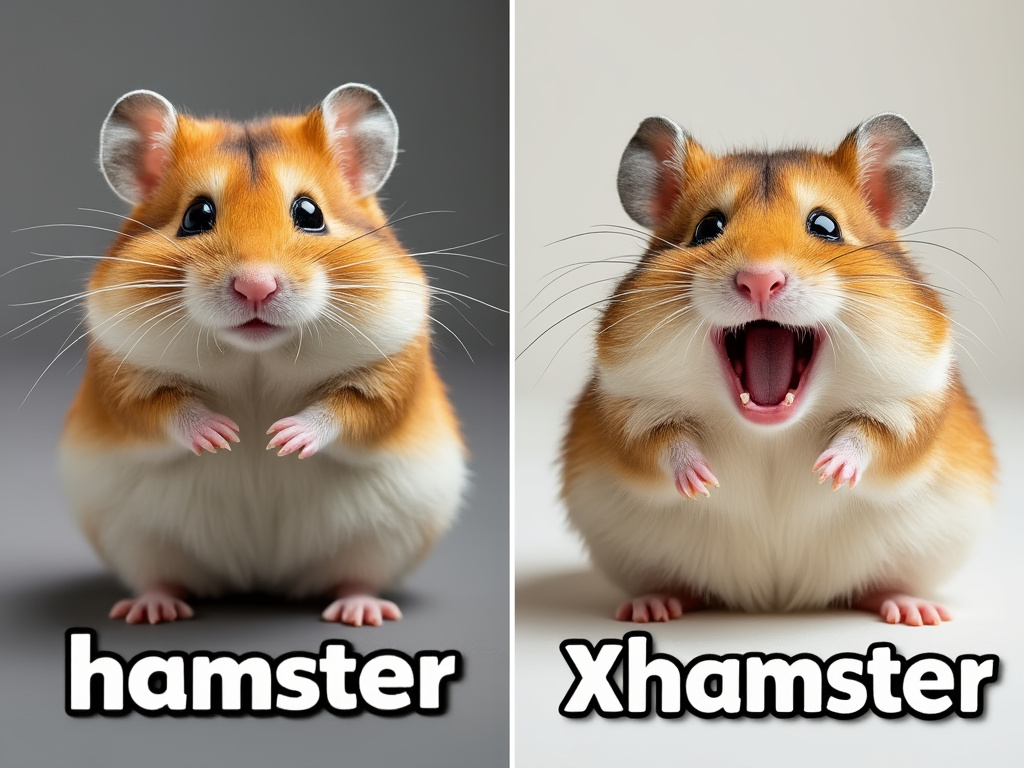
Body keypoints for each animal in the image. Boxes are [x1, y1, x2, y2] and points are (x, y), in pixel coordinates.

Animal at [58, 85, 467, 626]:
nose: (256, 285)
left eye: (310, 213)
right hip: (137, 538)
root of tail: (259, 578)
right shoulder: (121, 373)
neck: (256, 356)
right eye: (196, 216)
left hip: (382, 538)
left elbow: (350, 408)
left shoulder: (392, 371)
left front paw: (281, 439)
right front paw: (225, 436)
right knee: (159, 576)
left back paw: (360, 611)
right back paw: (152, 610)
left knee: (355, 576)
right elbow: (160, 408)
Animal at [561, 113, 996, 626]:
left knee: (874, 587)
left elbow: (872, 435)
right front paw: (702, 482)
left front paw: (829, 471)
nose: (759, 279)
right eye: (708, 227)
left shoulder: (914, 403)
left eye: (825, 225)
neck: (769, 430)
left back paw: (916, 611)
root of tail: (777, 600)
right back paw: (652, 607)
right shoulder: (626, 406)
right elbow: (662, 442)